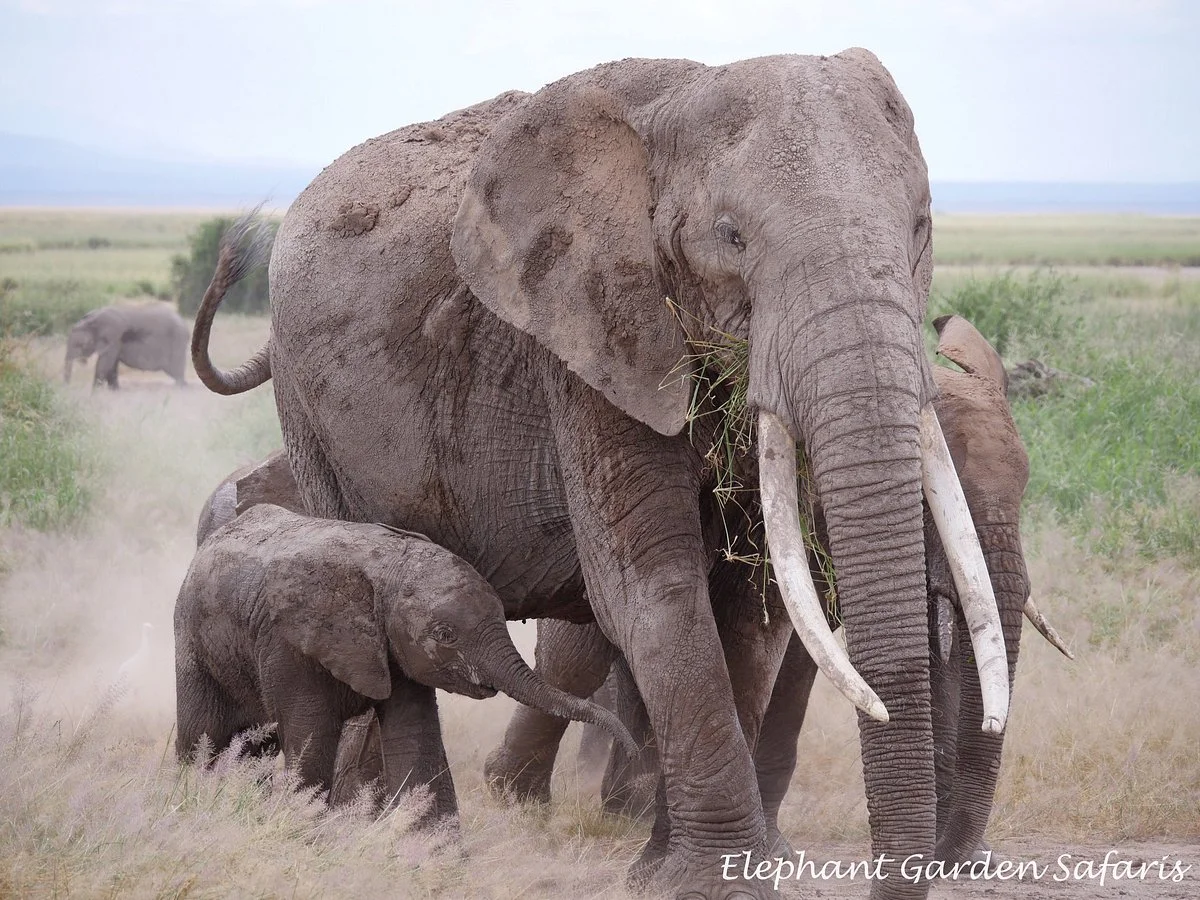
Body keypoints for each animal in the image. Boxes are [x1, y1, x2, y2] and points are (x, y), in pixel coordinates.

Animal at [174, 503, 636, 824]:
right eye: (445, 635)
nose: (631, 745)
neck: (384, 566)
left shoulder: (396, 651)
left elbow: (415, 738)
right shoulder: (290, 645)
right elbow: (310, 742)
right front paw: (303, 833)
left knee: (252, 744)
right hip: (190, 639)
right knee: (205, 737)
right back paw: (190, 803)